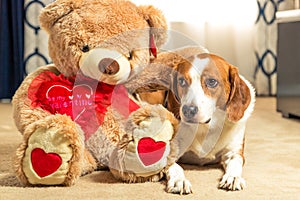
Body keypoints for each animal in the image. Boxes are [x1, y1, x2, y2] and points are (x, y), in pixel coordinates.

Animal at [135, 48, 254, 192]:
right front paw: (179, 180)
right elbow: (174, 166)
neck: (207, 127)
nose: (188, 110)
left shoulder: (234, 151)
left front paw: (233, 177)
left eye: (212, 82)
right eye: (181, 81)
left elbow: (236, 162)